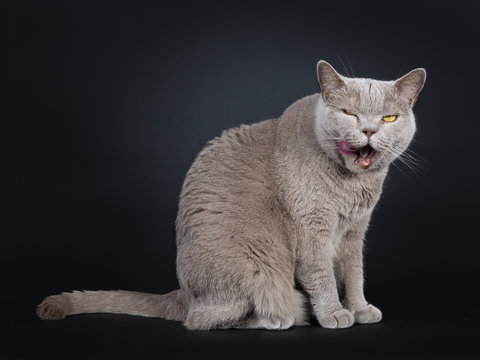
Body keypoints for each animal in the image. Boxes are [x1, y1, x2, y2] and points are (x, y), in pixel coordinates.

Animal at [38, 60, 428, 330]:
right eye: (348, 112)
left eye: (389, 118)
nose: (369, 129)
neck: (351, 186)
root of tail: (182, 293)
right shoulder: (312, 228)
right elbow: (322, 275)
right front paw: (334, 313)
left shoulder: (355, 231)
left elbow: (354, 272)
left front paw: (359, 308)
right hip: (253, 268)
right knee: (202, 319)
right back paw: (277, 319)